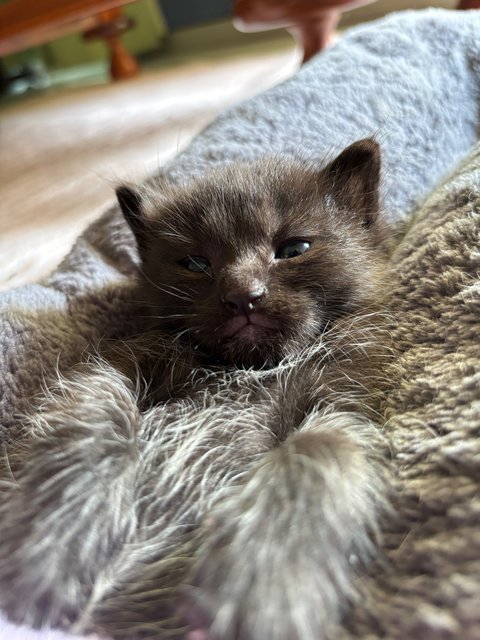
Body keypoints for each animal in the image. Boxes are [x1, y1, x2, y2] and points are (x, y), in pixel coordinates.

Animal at [114, 140, 392, 640]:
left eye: (294, 248)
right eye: (195, 262)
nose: (243, 295)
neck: (253, 370)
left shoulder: (345, 399)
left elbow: (313, 454)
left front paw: (259, 586)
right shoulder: (134, 357)